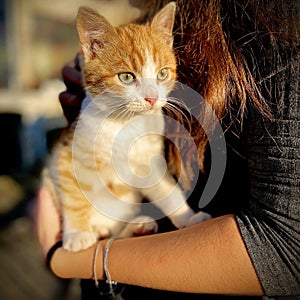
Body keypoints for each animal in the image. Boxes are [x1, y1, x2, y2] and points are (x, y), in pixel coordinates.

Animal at [43, 2, 210, 251]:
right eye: (126, 77)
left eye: (162, 73)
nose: (151, 98)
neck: (126, 123)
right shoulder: (64, 156)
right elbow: (73, 196)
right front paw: (76, 234)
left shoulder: (148, 163)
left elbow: (168, 191)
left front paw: (187, 217)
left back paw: (137, 226)